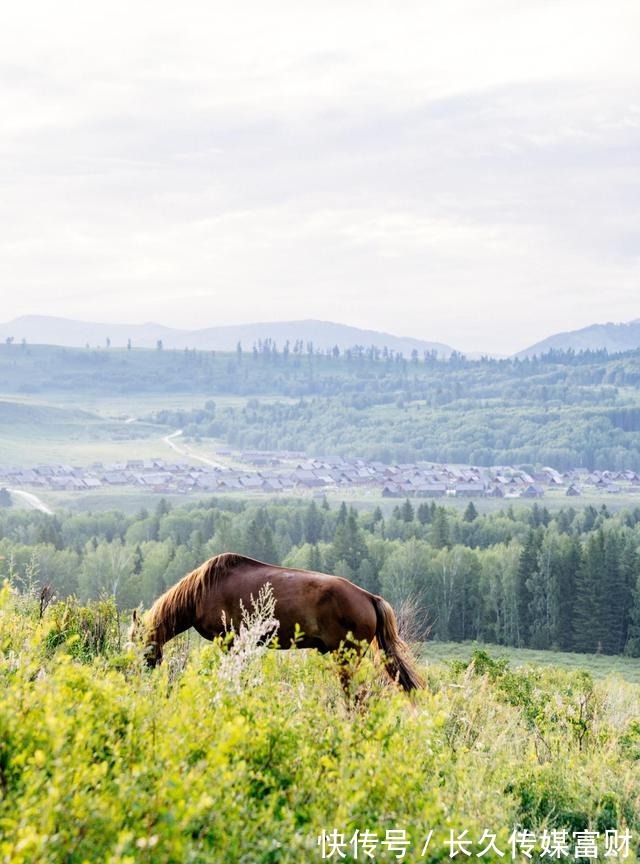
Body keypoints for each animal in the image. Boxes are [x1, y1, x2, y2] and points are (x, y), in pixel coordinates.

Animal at [130, 552, 422, 696]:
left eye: (136, 641)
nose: (135, 674)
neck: (202, 589)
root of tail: (370, 597)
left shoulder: (229, 643)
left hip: (346, 658)